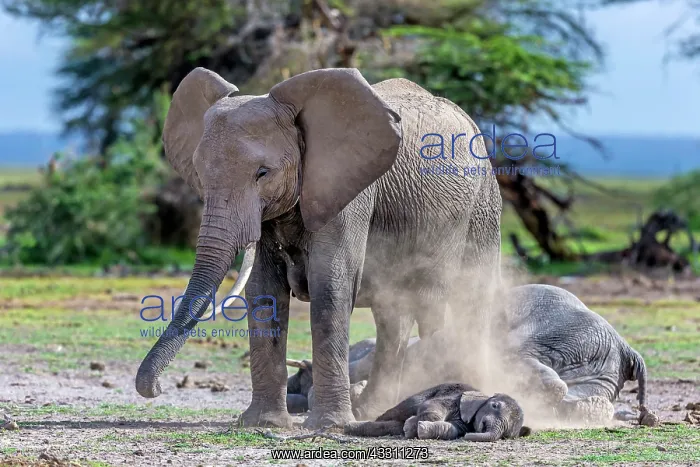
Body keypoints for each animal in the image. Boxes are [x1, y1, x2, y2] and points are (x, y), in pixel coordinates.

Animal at [134, 66, 503, 429]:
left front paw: (329, 425)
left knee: (450, 303)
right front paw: (263, 423)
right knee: (393, 315)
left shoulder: (350, 192)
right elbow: (264, 290)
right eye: (198, 172)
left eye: (262, 173)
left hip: (483, 204)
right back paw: (373, 411)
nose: (156, 389)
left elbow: (331, 287)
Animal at [343, 383, 531, 442]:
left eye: (506, 435)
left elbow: (452, 429)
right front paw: (411, 427)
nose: (467, 437)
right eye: (495, 406)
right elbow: (432, 405)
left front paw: (417, 429)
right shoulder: (453, 397)